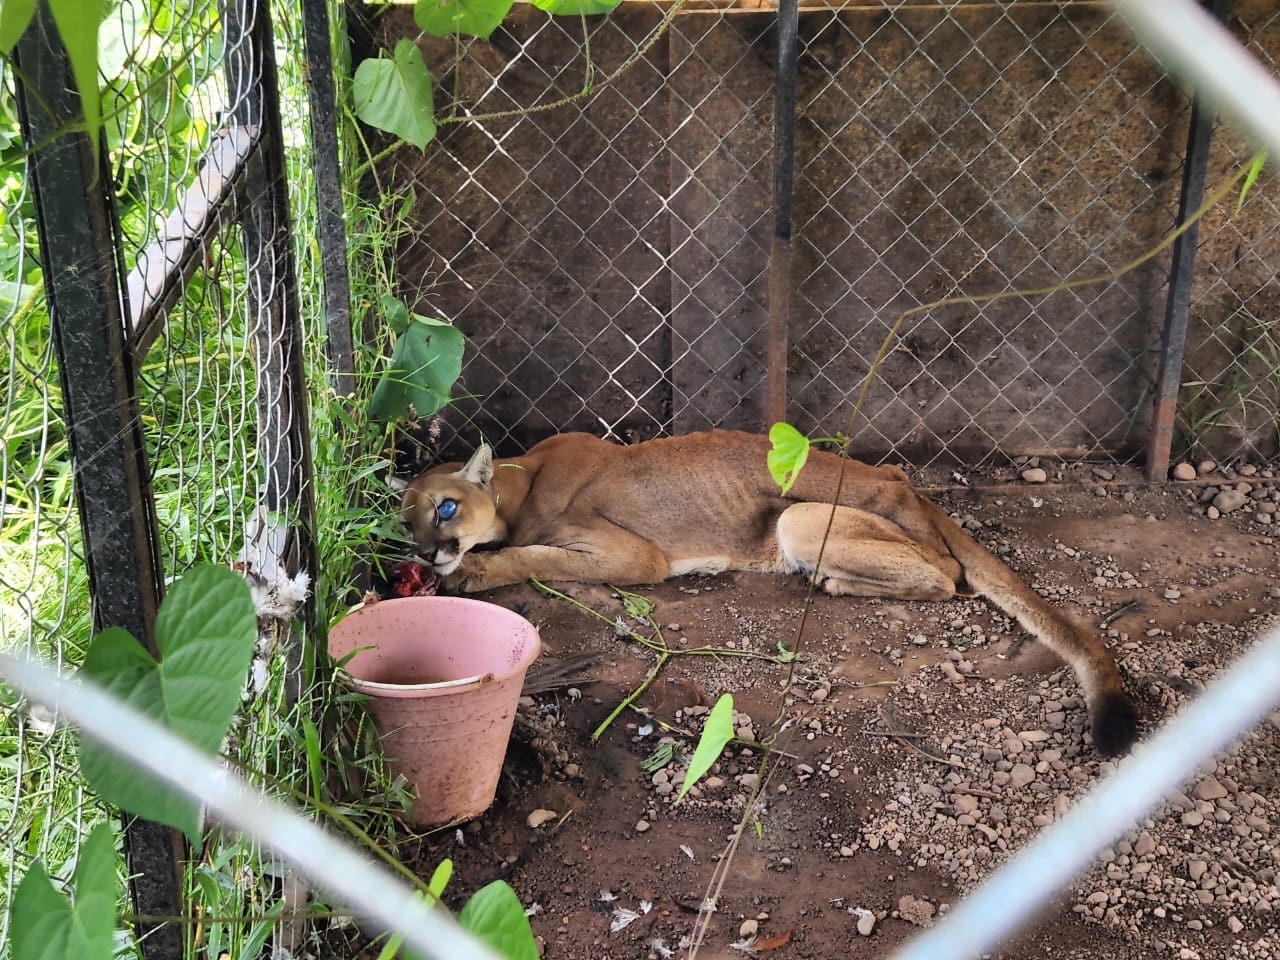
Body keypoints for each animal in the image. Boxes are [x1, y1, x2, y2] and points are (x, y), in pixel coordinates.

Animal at [401, 432, 1141, 757]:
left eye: (445, 508)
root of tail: (902, 480)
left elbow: (537, 557)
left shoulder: (636, 556)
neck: (521, 480)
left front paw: (471, 571)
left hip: (803, 518)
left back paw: (829, 579)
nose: (422, 550)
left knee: (948, 577)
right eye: (404, 519)